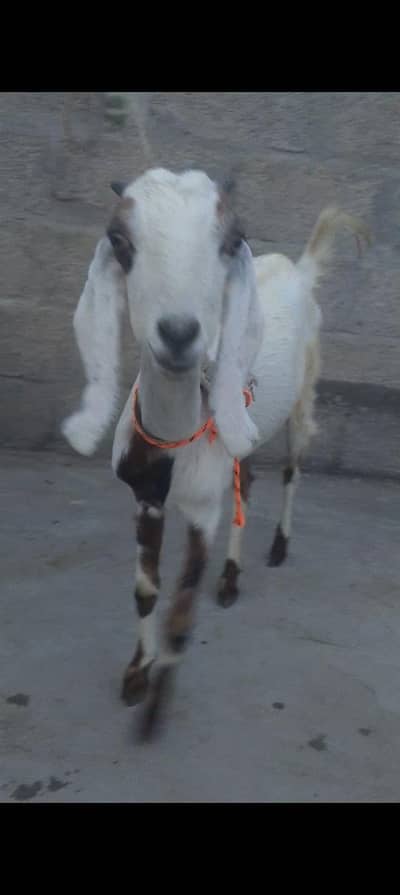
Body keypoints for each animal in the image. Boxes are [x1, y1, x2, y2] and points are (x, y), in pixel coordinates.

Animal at [62, 167, 369, 737]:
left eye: (231, 241)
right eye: (120, 240)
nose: (180, 333)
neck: (173, 441)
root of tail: (301, 270)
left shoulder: (201, 510)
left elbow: (182, 614)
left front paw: (154, 716)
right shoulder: (147, 499)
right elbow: (147, 591)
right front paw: (136, 676)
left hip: (303, 399)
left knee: (292, 471)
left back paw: (277, 547)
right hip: (243, 429)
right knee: (248, 481)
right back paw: (230, 578)